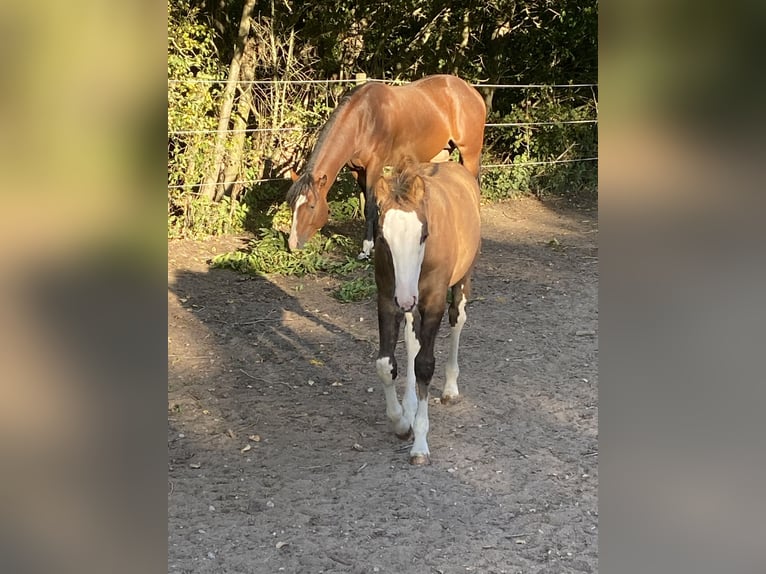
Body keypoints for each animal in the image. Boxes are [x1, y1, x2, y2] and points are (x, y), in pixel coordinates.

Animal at [286, 74, 486, 259]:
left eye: (311, 206)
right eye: (292, 205)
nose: (292, 244)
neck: (364, 120)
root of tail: (473, 93)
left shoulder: (375, 166)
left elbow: (370, 207)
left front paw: (366, 249)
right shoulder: (357, 171)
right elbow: (371, 204)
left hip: (470, 154)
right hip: (442, 154)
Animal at [373, 161, 481, 465]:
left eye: (423, 236)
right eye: (383, 238)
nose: (406, 297)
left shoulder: (432, 303)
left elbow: (424, 365)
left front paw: (420, 443)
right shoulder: (388, 299)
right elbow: (386, 364)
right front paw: (401, 423)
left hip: (461, 279)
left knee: (458, 319)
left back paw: (450, 390)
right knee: (412, 339)